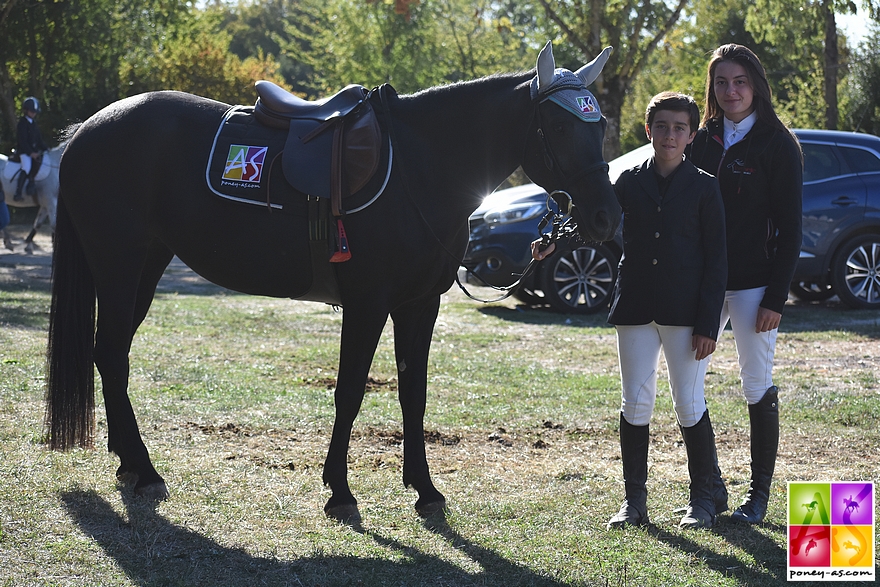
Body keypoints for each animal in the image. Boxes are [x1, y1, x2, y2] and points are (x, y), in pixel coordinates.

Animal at [46, 42, 620, 520]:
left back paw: (129, 463)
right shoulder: (367, 303)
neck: (421, 167)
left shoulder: (419, 304)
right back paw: (145, 471)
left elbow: (414, 393)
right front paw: (340, 491)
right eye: (560, 128)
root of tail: (86, 131)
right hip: (119, 266)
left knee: (110, 354)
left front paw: (425, 489)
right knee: (112, 354)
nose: (605, 217)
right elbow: (350, 392)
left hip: (146, 265)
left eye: (601, 126)